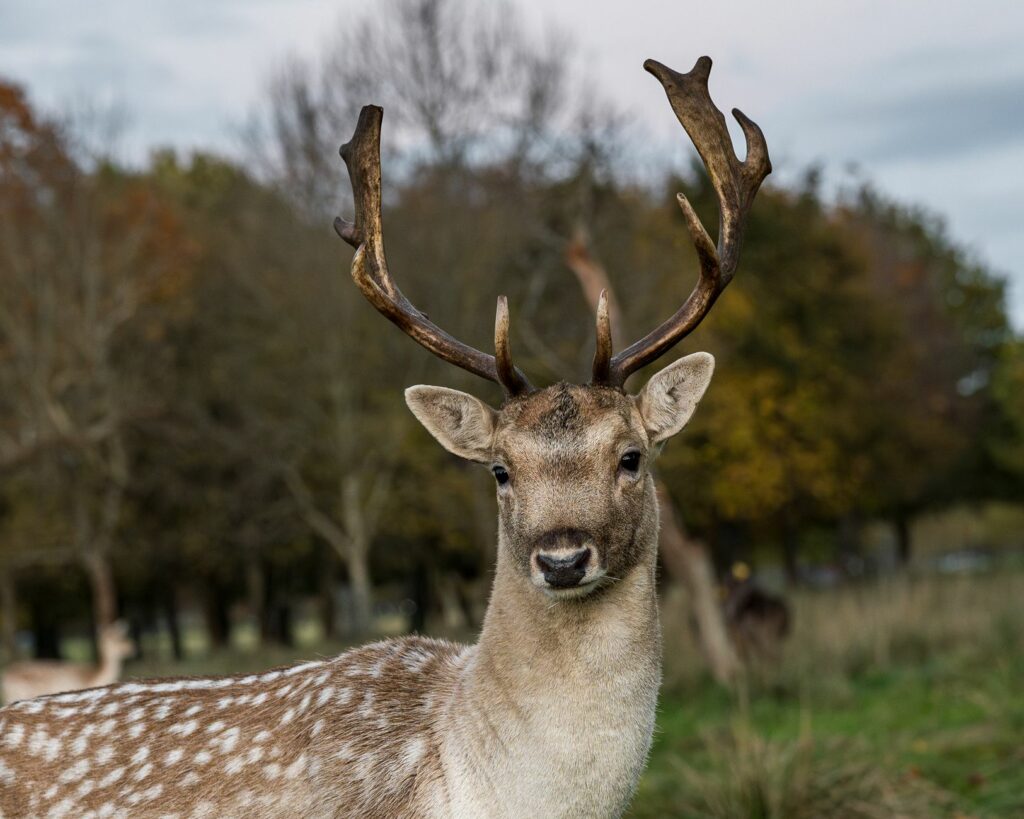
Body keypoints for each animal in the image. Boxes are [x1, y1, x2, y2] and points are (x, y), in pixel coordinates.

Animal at [1, 621, 134, 706]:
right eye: (117, 639)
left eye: (122, 637)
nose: (131, 647)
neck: (94, 677)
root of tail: (5, 676)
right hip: (16, 693)